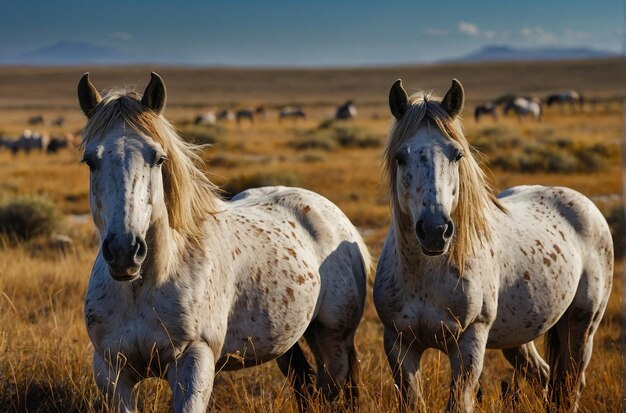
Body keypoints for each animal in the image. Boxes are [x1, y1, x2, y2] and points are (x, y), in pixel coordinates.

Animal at [78, 73, 370, 412]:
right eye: (90, 161)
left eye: (158, 158)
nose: (125, 251)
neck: (142, 289)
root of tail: (338, 219)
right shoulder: (112, 372)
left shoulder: (194, 362)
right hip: (289, 340)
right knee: (303, 384)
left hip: (333, 341)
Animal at [370, 79, 608, 410]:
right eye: (400, 157)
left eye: (457, 155)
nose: (435, 230)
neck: (425, 275)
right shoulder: (399, 345)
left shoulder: (469, 343)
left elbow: (460, 403)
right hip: (519, 337)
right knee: (545, 375)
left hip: (582, 325)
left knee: (571, 385)